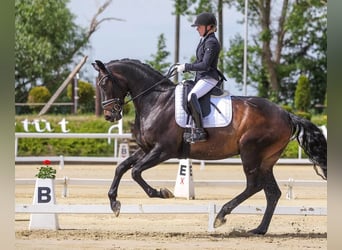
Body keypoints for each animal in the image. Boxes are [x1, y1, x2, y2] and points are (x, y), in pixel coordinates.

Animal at [92, 58, 328, 234]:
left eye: (103, 83)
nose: (110, 115)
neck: (156, 100)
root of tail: (286, 114)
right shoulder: (146, 149)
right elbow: (121, 168)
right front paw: (114, 204)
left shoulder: (162, 150)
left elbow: (135, 172)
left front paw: (162, 192)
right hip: (266, 160)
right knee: (272, 192)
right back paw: (259, 229)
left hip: (250, 153)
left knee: (254, 186)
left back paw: (221, 216)